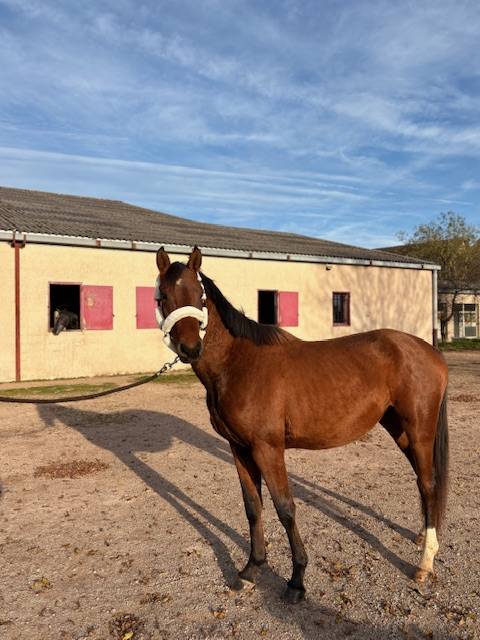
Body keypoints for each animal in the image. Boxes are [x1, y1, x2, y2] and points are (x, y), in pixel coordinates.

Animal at [154, 246, 449, 604]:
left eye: (199, 295)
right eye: (163, 296)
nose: (190, 348)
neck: (238, 363)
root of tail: (429, 350)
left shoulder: (267, 449)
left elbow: (285, 509)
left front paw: (296, 580)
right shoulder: (239, 449)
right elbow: (253, 508)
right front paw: (251, 570)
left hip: (419, 430)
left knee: (429, 484)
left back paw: (424, 564)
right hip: (400, 430)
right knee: (424, 481)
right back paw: (424, 537)